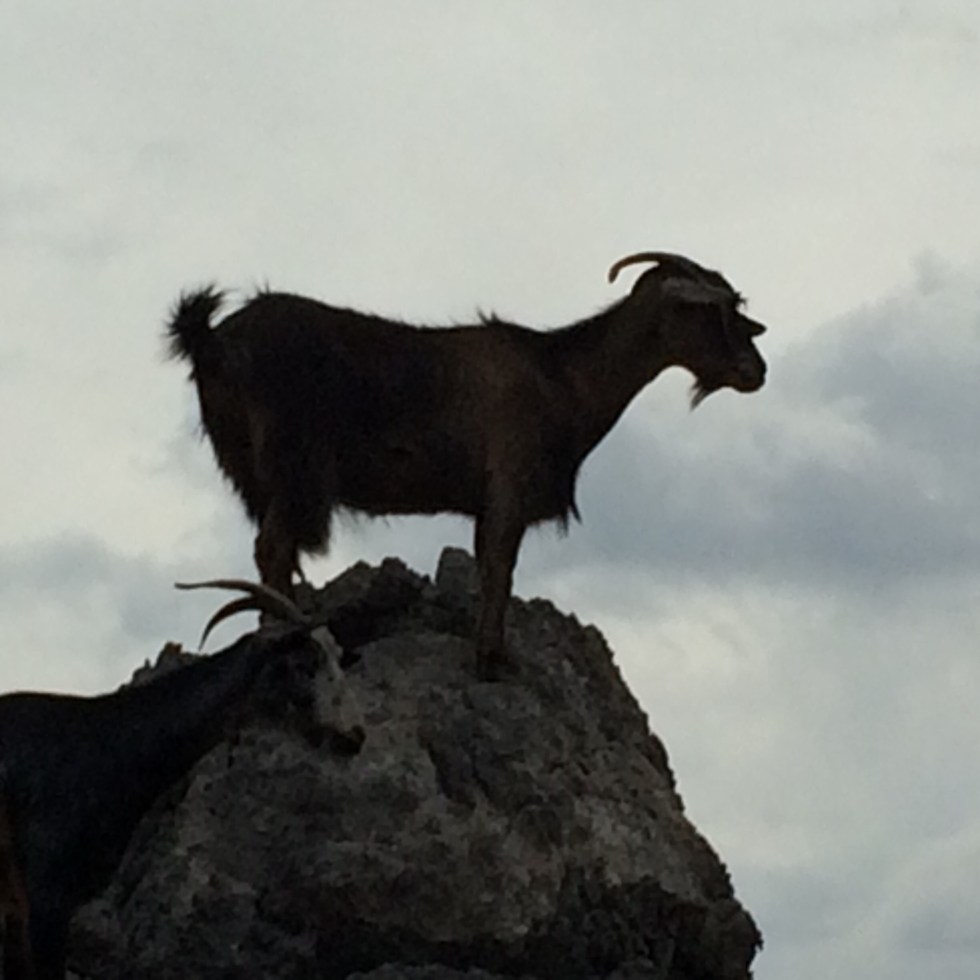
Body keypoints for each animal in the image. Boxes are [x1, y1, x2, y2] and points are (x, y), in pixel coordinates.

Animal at [167, 251, 767, 679]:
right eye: (706, 308)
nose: (755, 369)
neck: (563, 376)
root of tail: (212, 340)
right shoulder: (509, 486)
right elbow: (499, 568)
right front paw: (492, 660)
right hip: (292, 465)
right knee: (272, 548)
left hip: (256, 472)